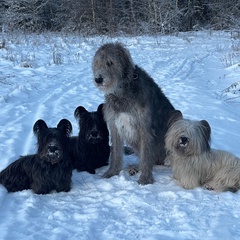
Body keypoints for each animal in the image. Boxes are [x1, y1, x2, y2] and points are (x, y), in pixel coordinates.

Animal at [92, 42, 174, 185]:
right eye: (97, 62)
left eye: (110, 62)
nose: (98, 79)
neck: (122, 90)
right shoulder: (115, 124)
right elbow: (116, 152)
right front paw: (112, 172)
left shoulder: (145, 127)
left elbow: (146, 155)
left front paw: (145, 179)